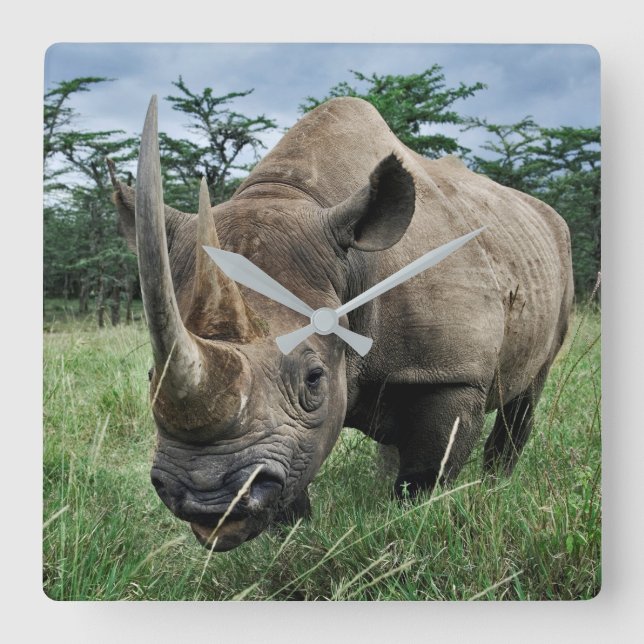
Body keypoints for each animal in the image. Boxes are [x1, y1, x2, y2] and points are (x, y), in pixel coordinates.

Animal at [110, 95, 573, 551]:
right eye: (151, 376)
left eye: (314, 378)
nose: (207, 499)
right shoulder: (295, 435)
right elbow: (297, 476)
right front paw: (294, 540)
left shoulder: (452, 374)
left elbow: (426, 475)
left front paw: (411, 524)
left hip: (555, 251)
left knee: (528, 390)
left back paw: (496, 486)